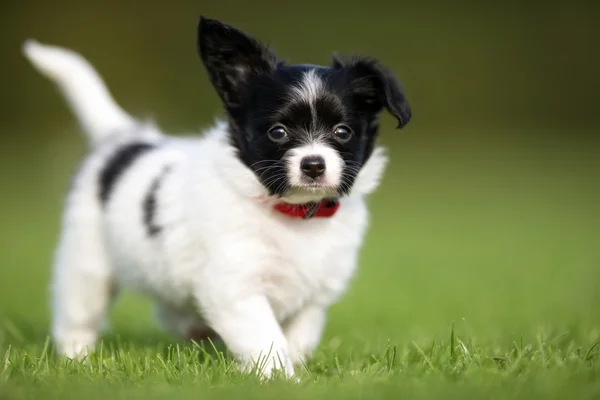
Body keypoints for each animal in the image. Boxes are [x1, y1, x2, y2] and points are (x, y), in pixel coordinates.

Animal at [21, 16, 410, 378]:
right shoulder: (236, 288)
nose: (314, 165)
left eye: (342, 132)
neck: (295, 214)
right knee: (78, 315)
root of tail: (125, 139)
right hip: (87, 263)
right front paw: (281, 380)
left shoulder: (314, 297)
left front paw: (297, 370)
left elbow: (299, 338)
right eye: (278, 132)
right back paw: (77, 359)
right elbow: (266, 339)